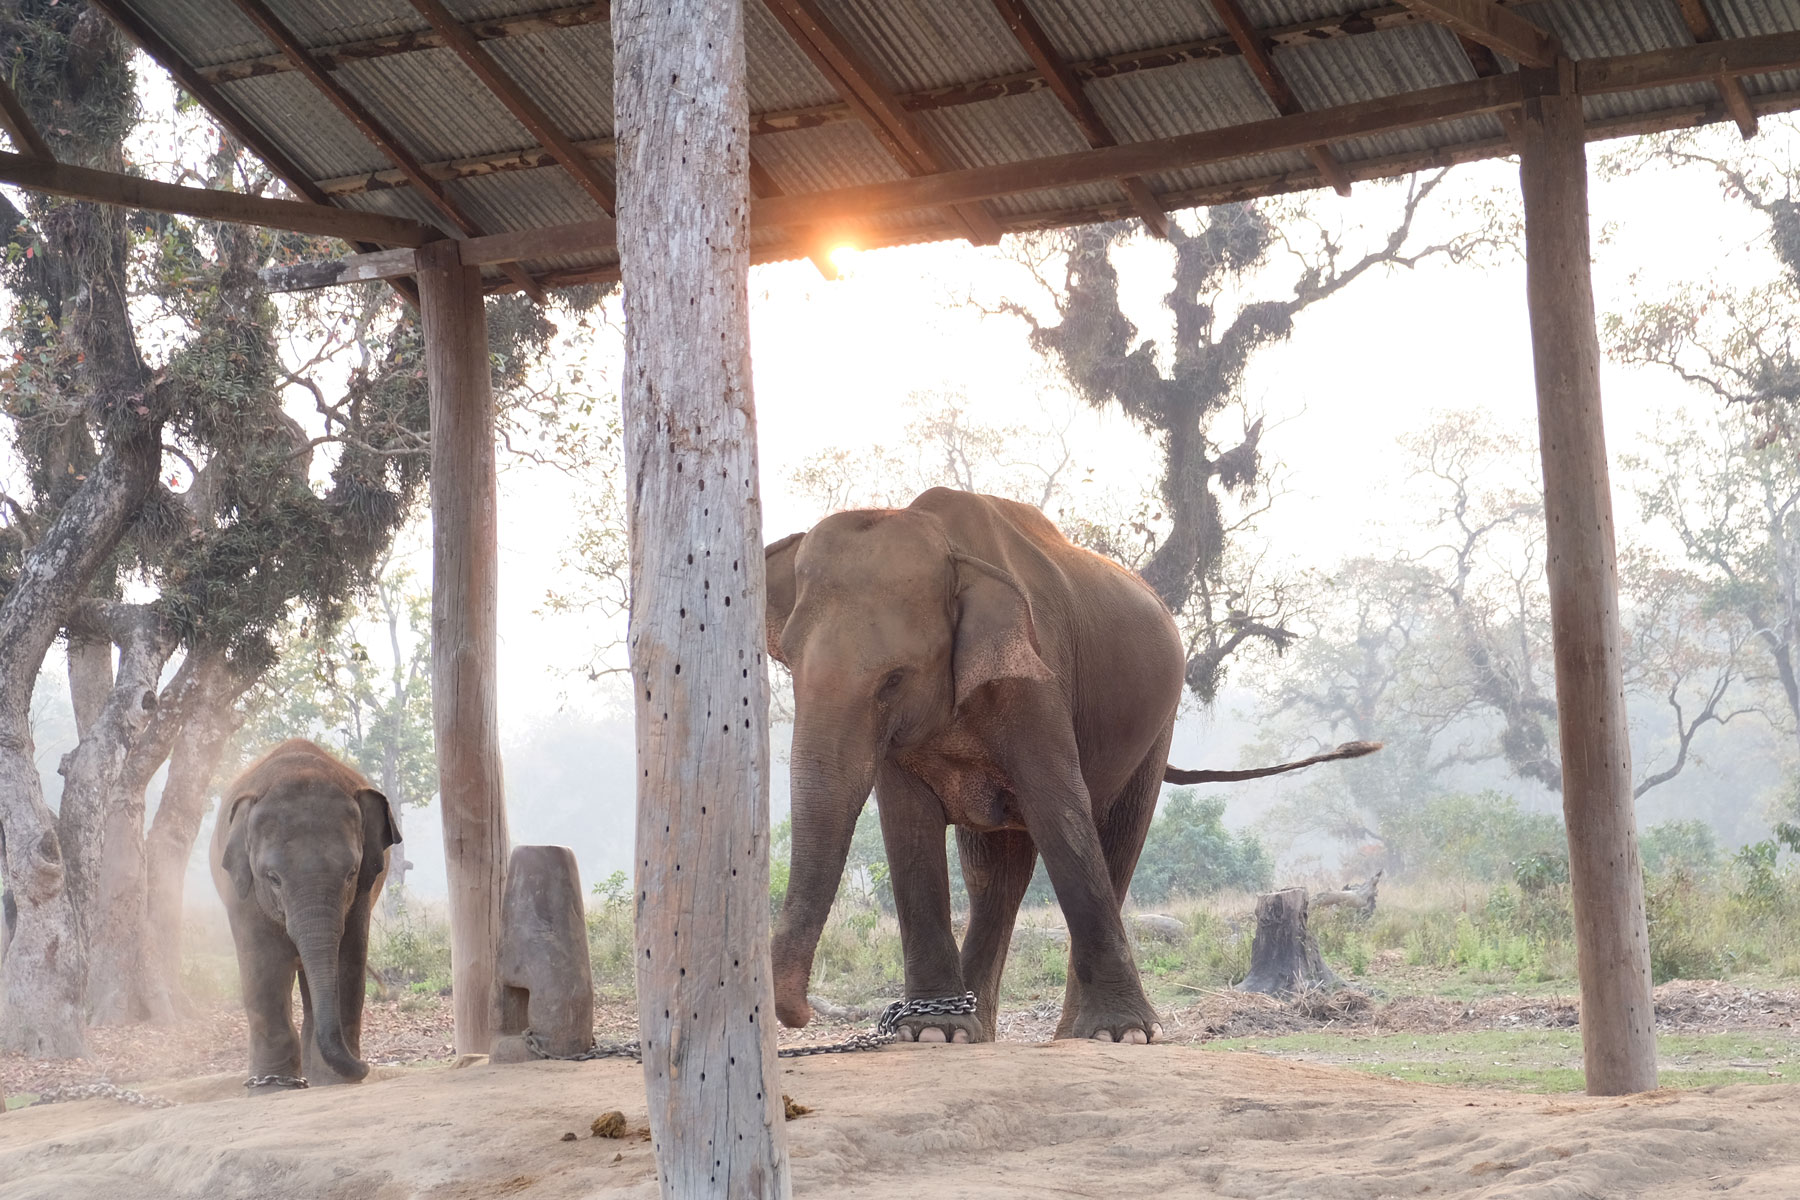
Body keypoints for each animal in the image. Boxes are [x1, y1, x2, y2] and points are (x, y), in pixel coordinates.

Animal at [212, 737, 399, 1093]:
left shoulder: (362, 894)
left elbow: (349, 958)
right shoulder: (243, 894)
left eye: (351, 874)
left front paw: (333, 1080)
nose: (366, 1066)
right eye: (273, 878)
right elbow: (263, 965)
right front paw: (272, 1086)